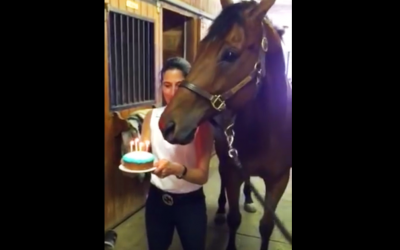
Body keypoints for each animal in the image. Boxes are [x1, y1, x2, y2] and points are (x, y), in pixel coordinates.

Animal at [158, 0, 292, 249]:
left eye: (230, 54)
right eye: (202, 47)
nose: (167, 124)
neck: (267, 129)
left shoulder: (279, 180)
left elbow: (267, 226)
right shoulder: (232, 172)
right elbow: (234, 218)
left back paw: (249, 199)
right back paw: (221, 209)